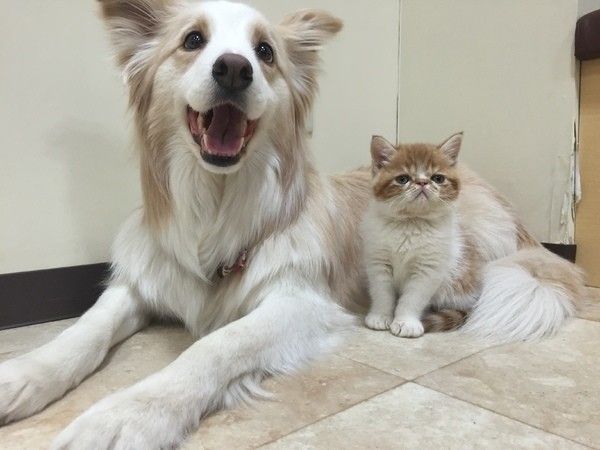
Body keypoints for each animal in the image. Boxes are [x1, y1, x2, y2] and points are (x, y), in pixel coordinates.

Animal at [0, 1, 371, 448]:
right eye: (193, 40)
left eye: (265, 51)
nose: (234, 69)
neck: (214, 203)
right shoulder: (141, 280)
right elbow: (85, 329)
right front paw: (24, 374)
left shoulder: (302, 302)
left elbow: (216, 345)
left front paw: (126, 415)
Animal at [361, 132, 585, 341]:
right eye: (403, 179)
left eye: (438, 178)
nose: (422, 183)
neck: (411, 224)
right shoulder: (378, 262)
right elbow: (382, 292)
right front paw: (380, 317)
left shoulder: (429, 269)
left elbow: (413, 297)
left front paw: (406, 322)